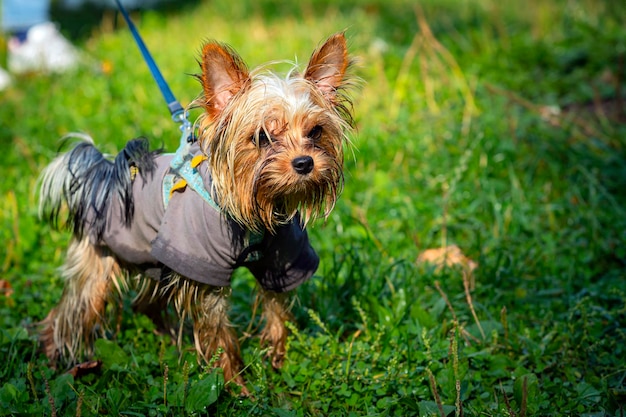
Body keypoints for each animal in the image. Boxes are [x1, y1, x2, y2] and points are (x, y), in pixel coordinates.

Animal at [36, 33, 354, 394]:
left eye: (316, 132)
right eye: (261, 137)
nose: (304, 163)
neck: (259, 206)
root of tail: (101, 175)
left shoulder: (282, 260)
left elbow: (277, 313)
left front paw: (278, 362)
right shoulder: (204, 269)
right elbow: (219, 335)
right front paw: (234, 386)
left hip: (156, 260)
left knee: (143, 303)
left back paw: (169, 339)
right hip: (101, 266)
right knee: (70, 313)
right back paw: (53, 360)